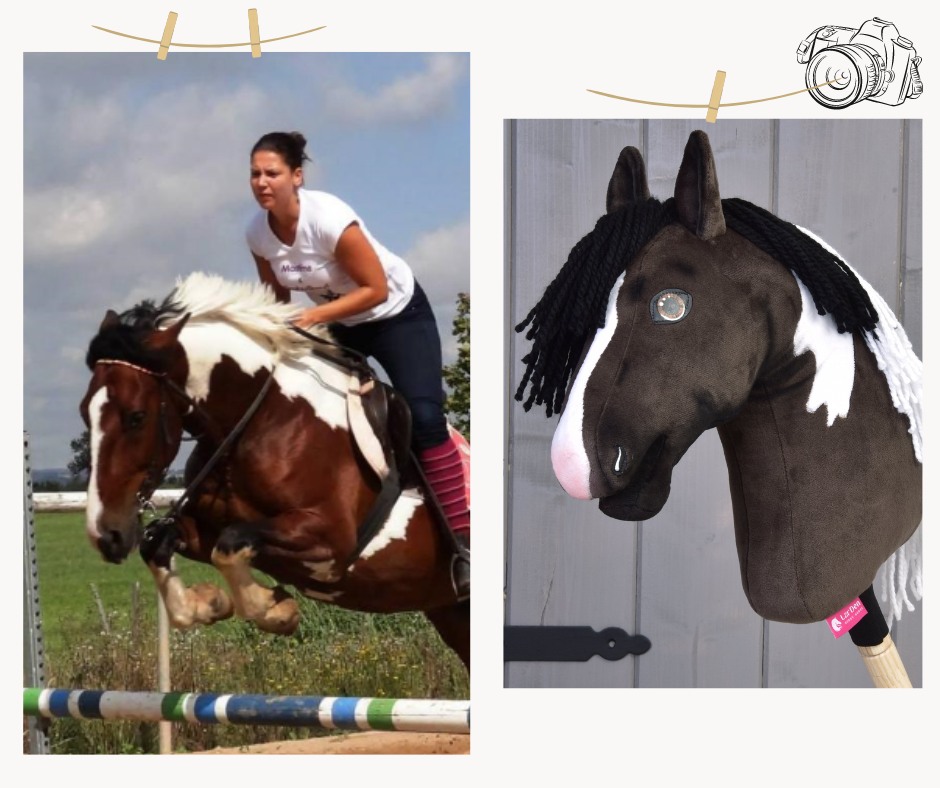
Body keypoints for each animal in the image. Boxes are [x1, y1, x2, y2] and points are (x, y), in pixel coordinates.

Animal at [79, 274, 469, 671]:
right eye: (84, 412)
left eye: (136, 417)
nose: (107, 536)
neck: (260, 421)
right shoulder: (206, 527)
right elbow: (157, 544)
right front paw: (210, 602)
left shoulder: (331, 537)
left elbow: (231, 543)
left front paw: (277, 611)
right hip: (449, 613)